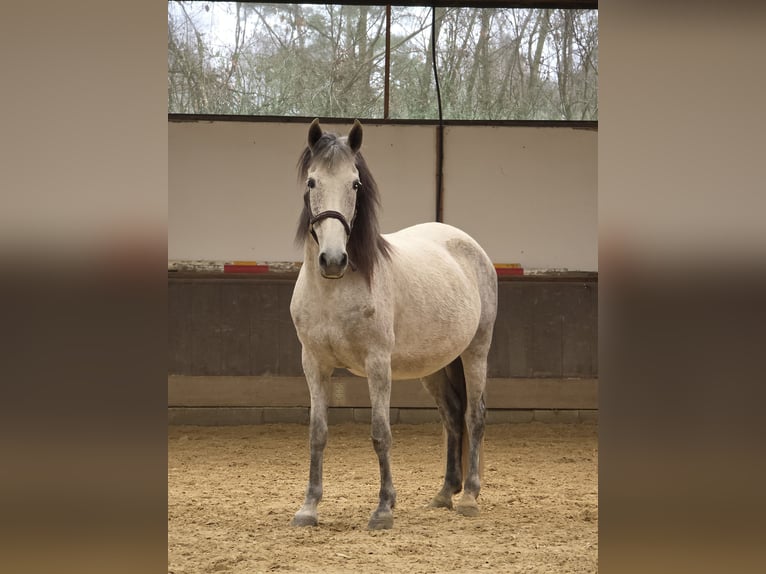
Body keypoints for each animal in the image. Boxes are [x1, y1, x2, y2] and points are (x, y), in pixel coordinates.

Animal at [289, 119, 498, 530]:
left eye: (355, 184)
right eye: (312, 182)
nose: (333, 260)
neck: (334, 291)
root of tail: (470, 246)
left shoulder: (377, 364)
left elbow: (380, 433)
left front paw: (384, 508)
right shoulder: (314, 364)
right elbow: (317, 433)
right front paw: (309, 507)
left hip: (475, 352)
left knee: (474, 415)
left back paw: (469, 496)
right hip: (435, 366)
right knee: (452, 416)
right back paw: (444, 493)